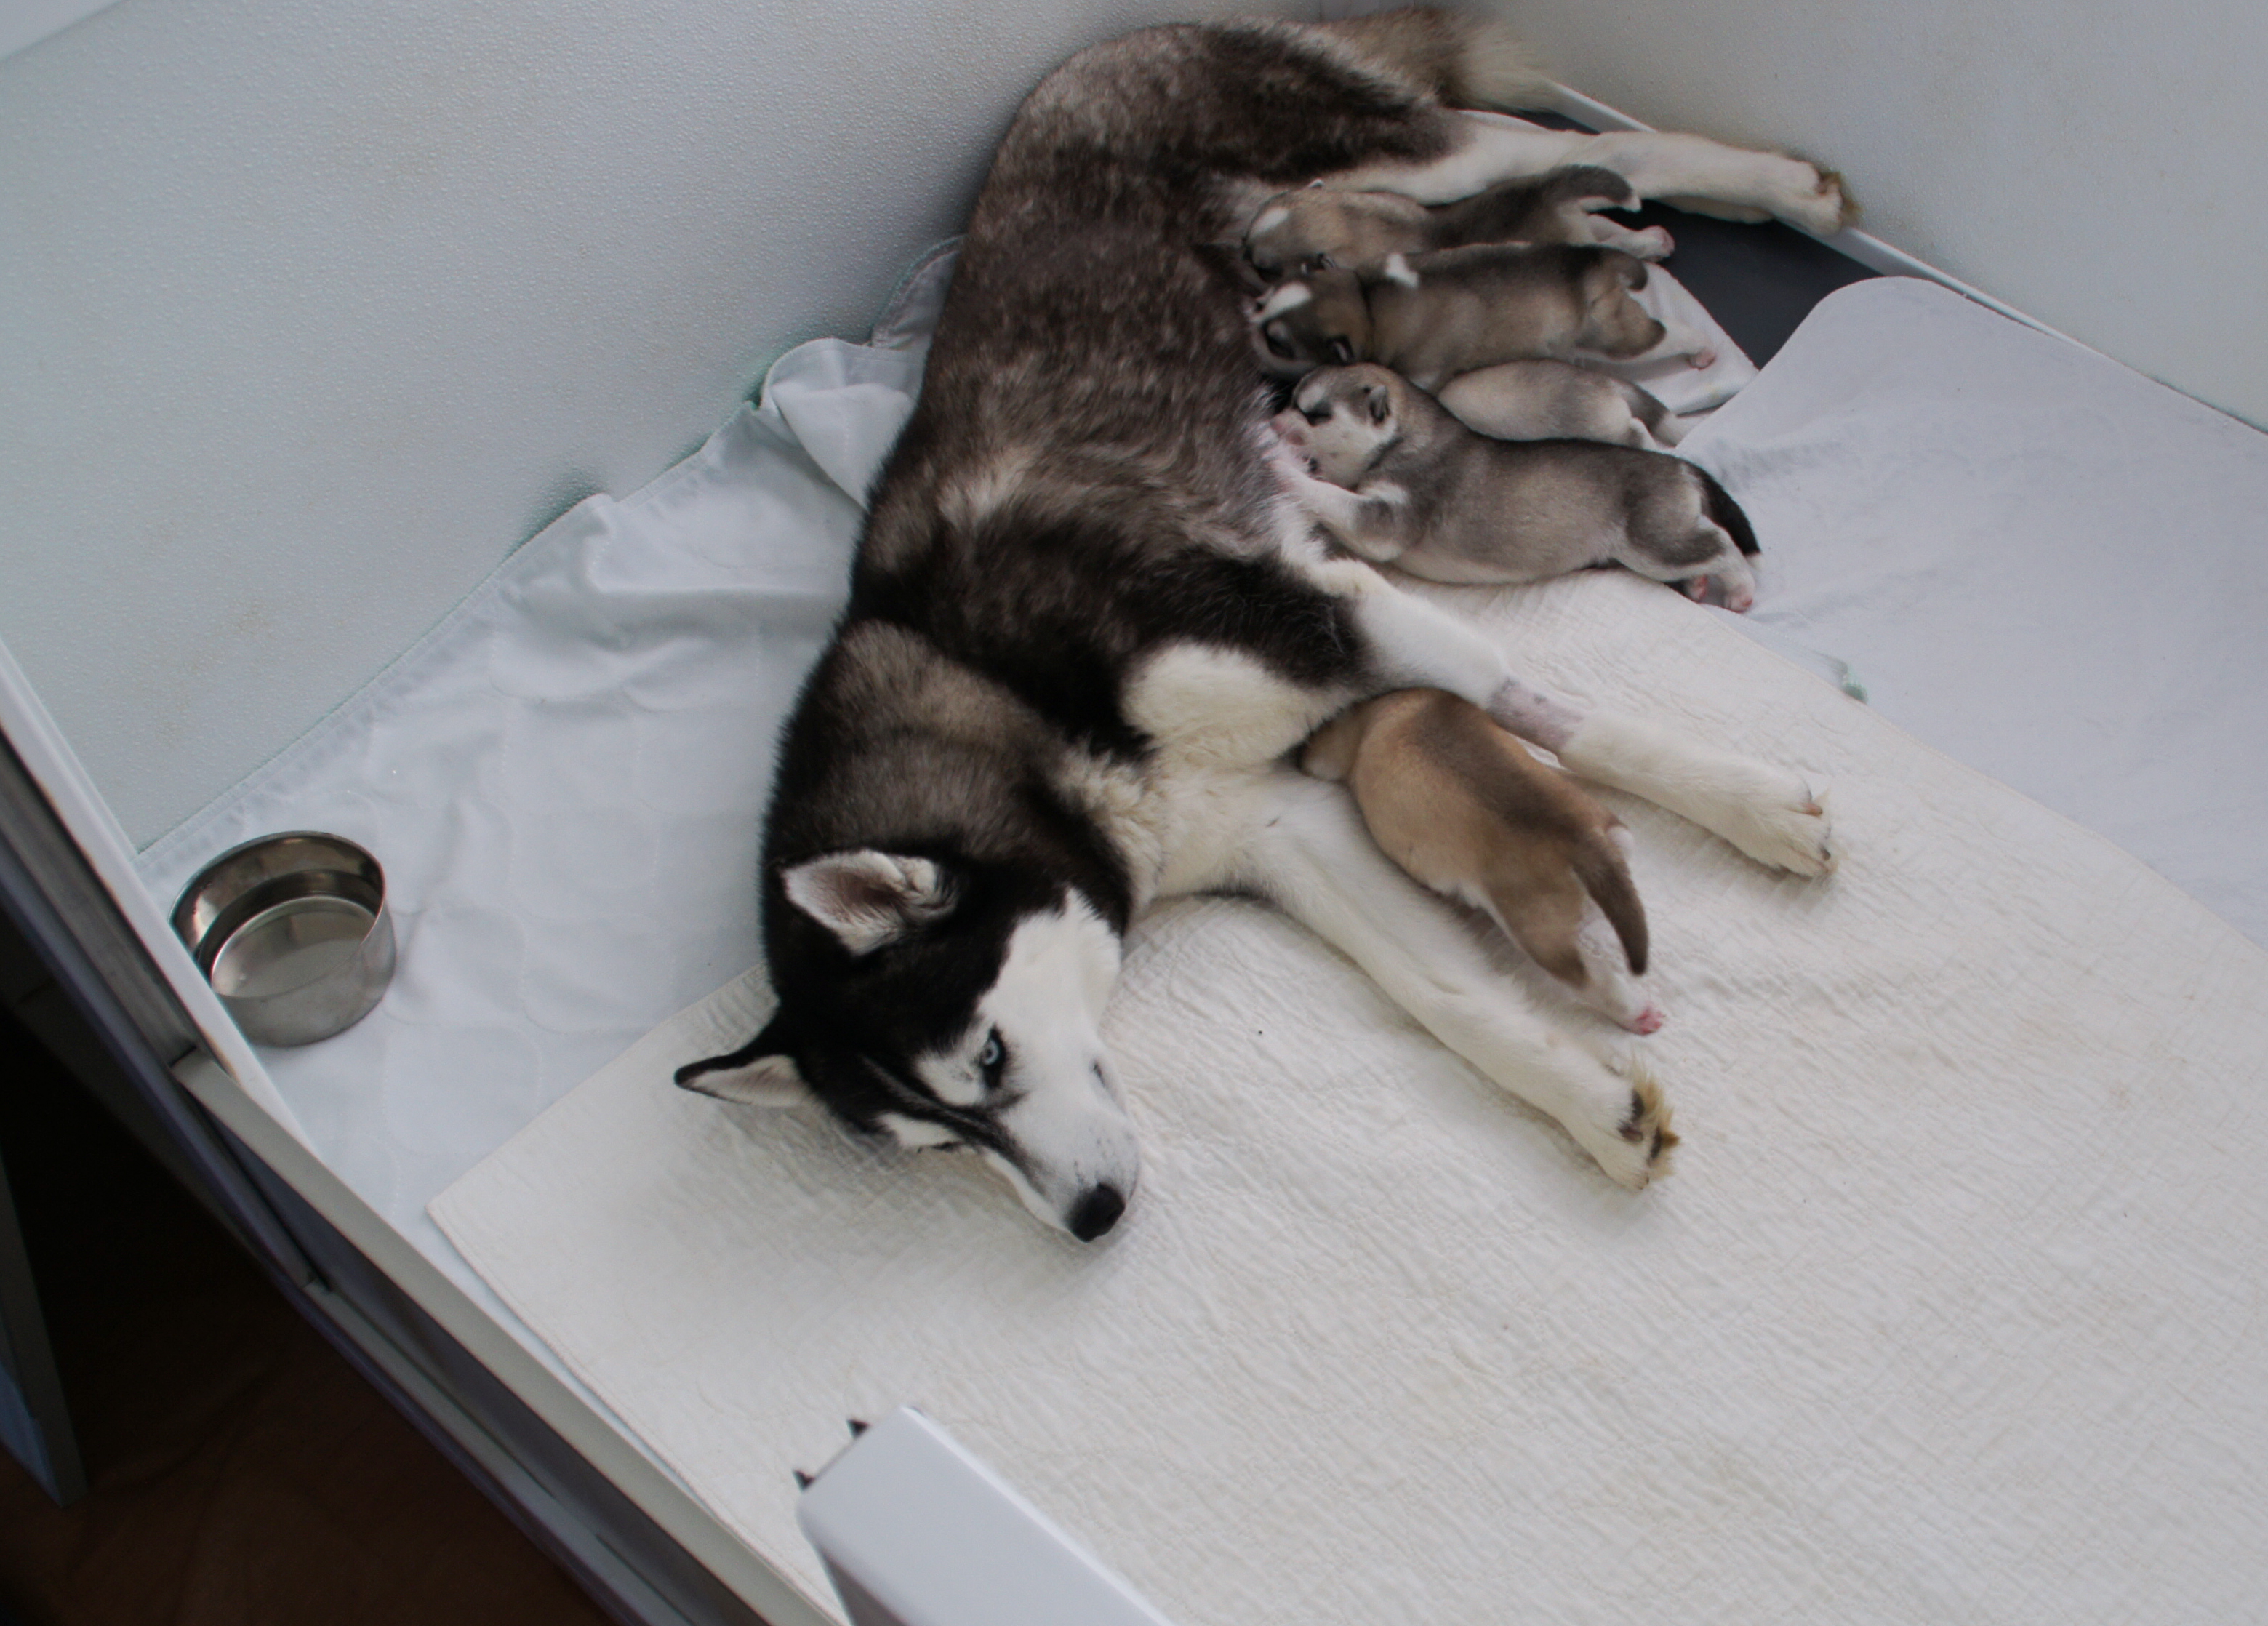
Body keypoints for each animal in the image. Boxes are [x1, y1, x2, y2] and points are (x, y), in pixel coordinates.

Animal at [1242, 165, 1675, 281]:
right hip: (1585, 221)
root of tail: (1545, 187)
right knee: (1617, 232)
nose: (1239, 252)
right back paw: (1656, 240)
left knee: (1615, 246)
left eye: (1265, 269)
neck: (1352, 219)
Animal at [1271, 363, 1759, 609]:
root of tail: (1678, 465)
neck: (1404, 436)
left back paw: (1739, 588)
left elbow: (1331, 497)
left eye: (1316, 415)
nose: (1275, 423)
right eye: (1290, 401)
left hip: (1651, 542)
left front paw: (1281, 467)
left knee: (1722, 543)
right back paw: (1698, 585)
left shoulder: (1392, 516)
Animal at [1302, 689, 1664, 1039]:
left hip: (1538, 937)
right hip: (1615, 837)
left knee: (1594, 981)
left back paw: (1636, 1014)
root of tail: (1584, 842)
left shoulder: (1329, 753)